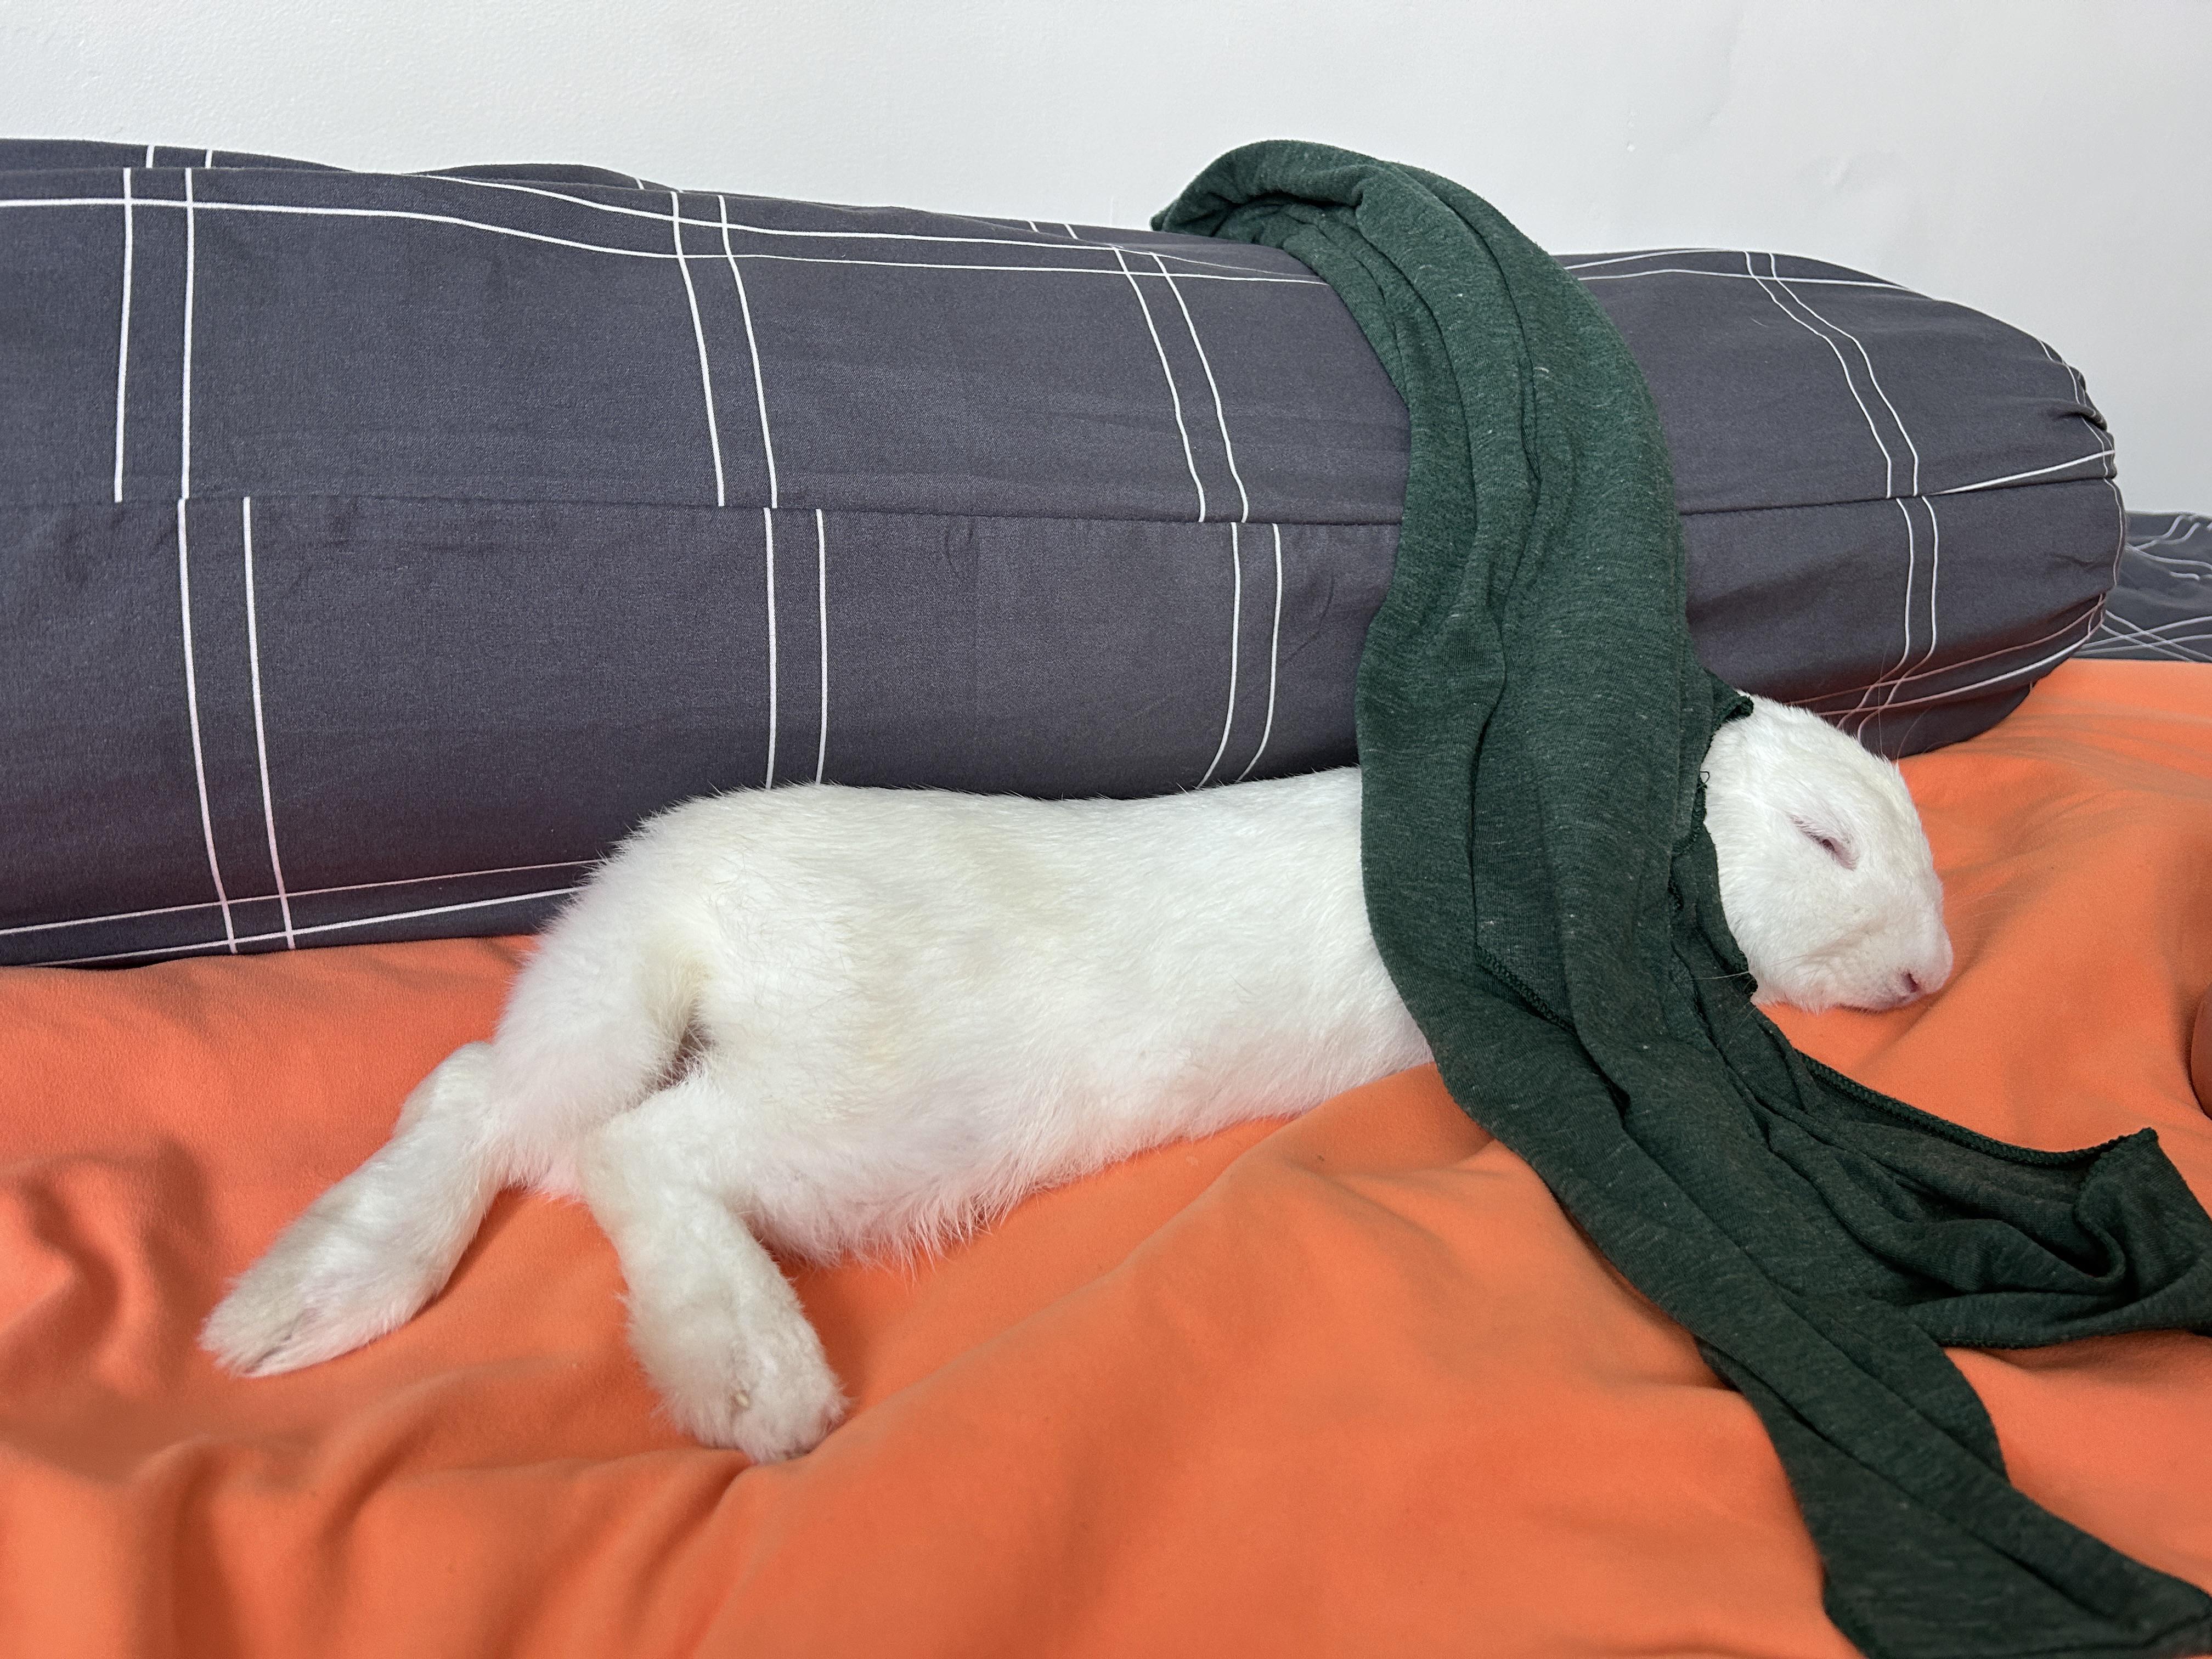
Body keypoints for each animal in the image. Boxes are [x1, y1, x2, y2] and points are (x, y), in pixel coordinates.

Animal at [200, 694, 1951, 1463]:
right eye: (1825, 842)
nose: (1935, 976)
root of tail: (690, 923)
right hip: (869, 1120)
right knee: (635, 1157)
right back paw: (752, 1379)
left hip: (593, 1013)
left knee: (478, 1101)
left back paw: (301, 1304)